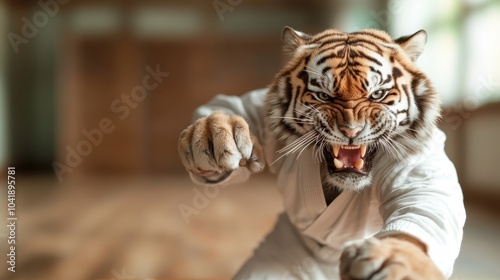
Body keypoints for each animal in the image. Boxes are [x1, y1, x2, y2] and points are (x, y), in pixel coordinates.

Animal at [178, 26, 462, 280]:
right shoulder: (258, 111)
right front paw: (212, 133)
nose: (351, 130)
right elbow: (230, 105)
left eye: (378, 94)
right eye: (324, 96)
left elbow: (425, 211)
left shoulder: (416, 171)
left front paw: (392, 258)